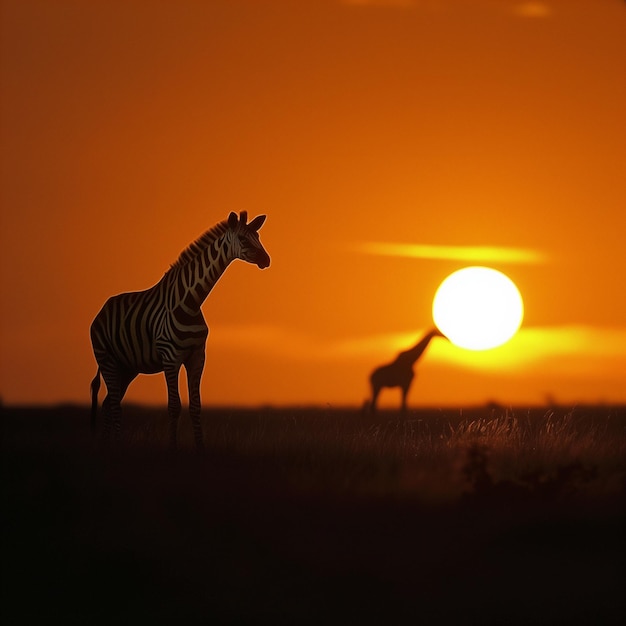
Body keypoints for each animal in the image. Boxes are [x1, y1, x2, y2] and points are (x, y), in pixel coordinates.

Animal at [89, 210, 270, 448]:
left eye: (258, 237)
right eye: (243, 239)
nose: (267, 260)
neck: (190, 301)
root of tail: (103, 308)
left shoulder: (197, 357)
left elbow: (195, 406)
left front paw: (200, 448)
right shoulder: (170, 358)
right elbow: (174, 407)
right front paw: (173, 448)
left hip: (127, 366)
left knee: (109, 403)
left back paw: (107, 445)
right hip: (107, 359)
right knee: (114, 405)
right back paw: (115, 445)